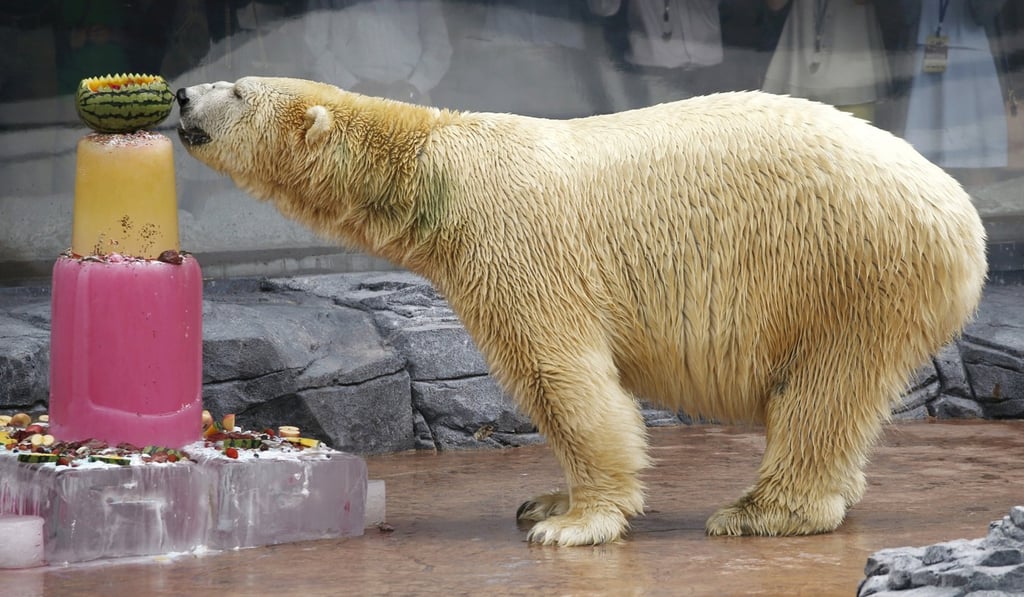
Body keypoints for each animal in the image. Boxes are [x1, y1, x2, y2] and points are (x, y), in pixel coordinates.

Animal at [176, 77, 987, 546]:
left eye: (239, 90)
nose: (182, 94)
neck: (436, 163)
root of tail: (963, 216)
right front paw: (543, 501)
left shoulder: (515, 244)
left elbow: (562, 375)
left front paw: (573, 523)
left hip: (847, 269)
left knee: (820, 390)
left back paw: (759, 511)